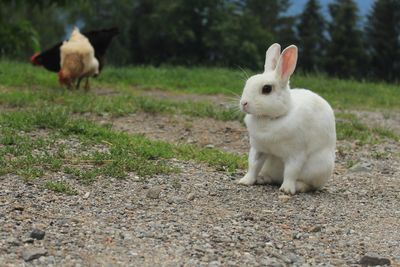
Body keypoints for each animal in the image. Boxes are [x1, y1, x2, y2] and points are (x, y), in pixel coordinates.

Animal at [239, 43, 336, 195]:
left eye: (267, 89)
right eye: (248, 82)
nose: (244, 103)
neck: (270, 119)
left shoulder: (296, 153)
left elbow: (291, 172)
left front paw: (287, 190)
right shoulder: (258, 149)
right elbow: (253, 165)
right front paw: (245, 181)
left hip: (320, 167)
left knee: (311, 185)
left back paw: (299, 186)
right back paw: (261, 178)